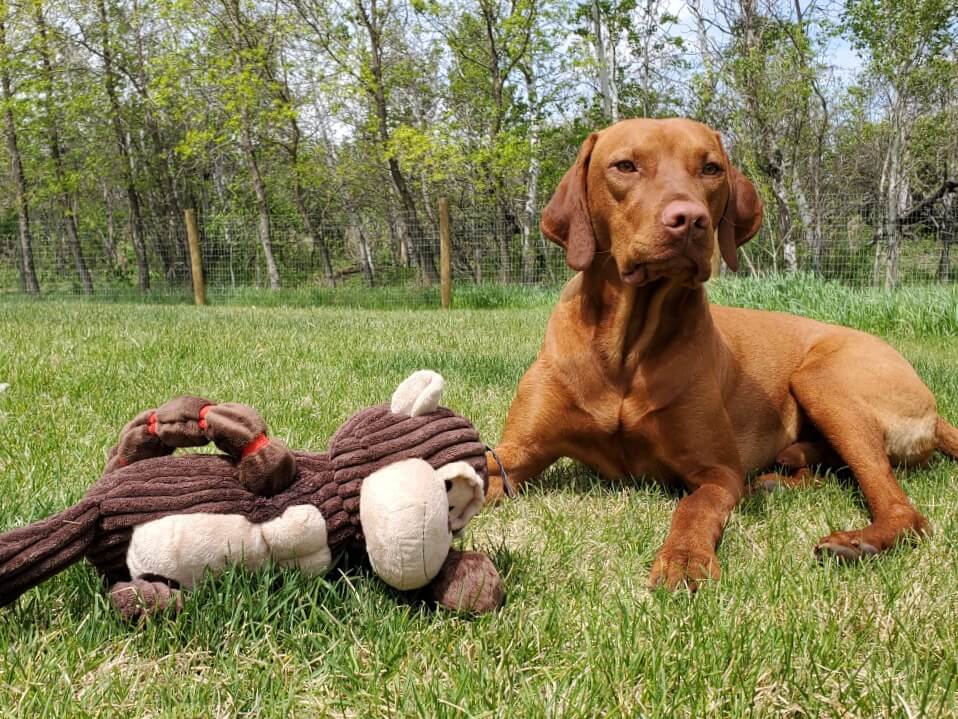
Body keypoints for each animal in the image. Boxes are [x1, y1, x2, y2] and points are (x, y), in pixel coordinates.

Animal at [488, 116, 958, 592]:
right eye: (625, 166)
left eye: (711, 168)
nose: (688, 220)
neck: (625, 349)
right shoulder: (516, 453)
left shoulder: (718, 472)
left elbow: (694, 507)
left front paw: (683, 558)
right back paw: (782, 477)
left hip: (823, 378)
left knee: (903, 509)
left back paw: (858, 540)